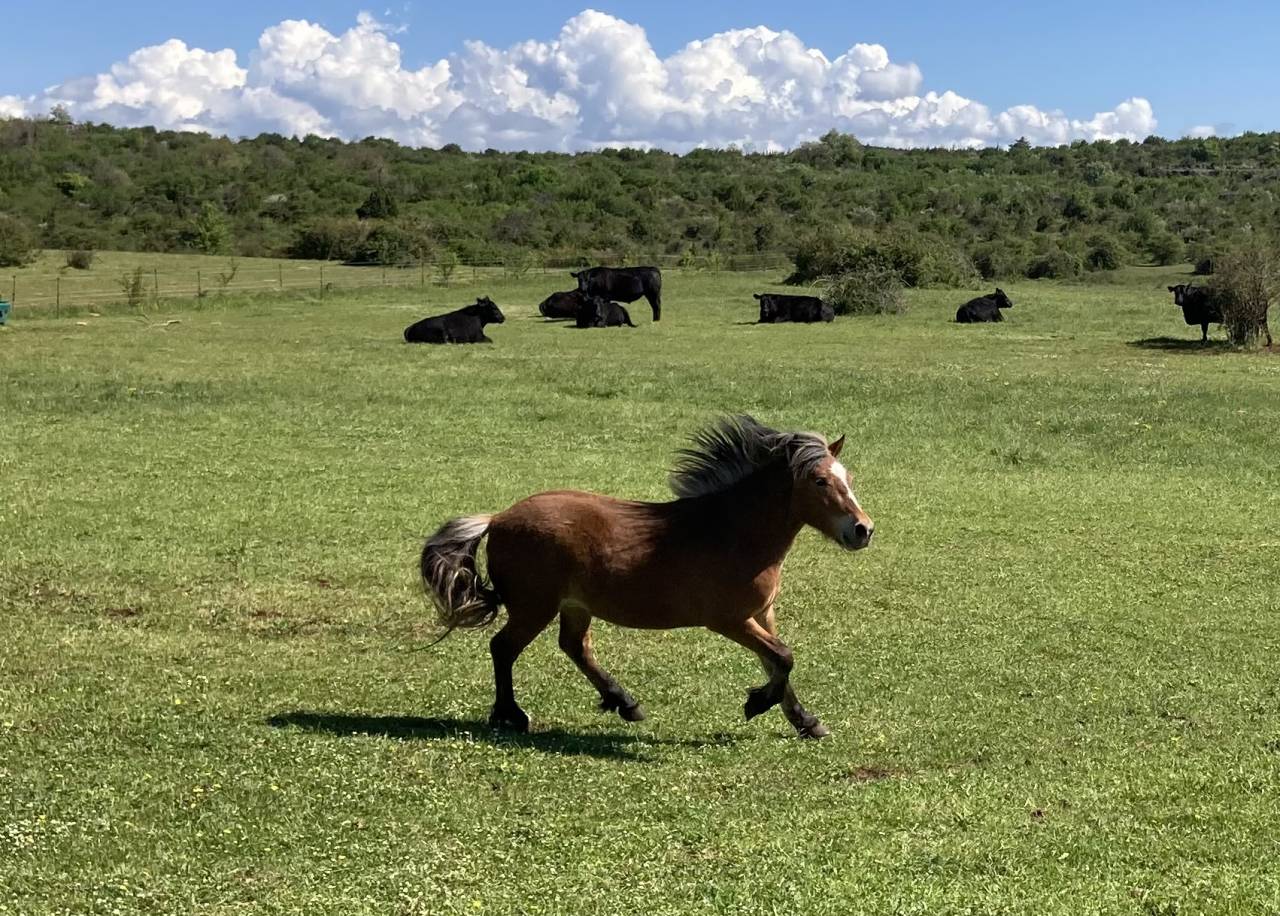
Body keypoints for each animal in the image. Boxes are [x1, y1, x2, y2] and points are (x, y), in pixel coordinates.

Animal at [419, 416, 875, 740]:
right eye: (820, 480)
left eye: (849, 479)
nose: (863, 530)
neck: (733, 531)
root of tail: (497, 518)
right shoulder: (729, 620)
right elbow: (783, 658)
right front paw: (756, 704)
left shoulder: (761, 615)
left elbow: (777, 663)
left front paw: (805, 721)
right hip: (535, 607)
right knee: (503, 648)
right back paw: (510, 714)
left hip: (574, 605)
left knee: (574, 647)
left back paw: (624, 701)